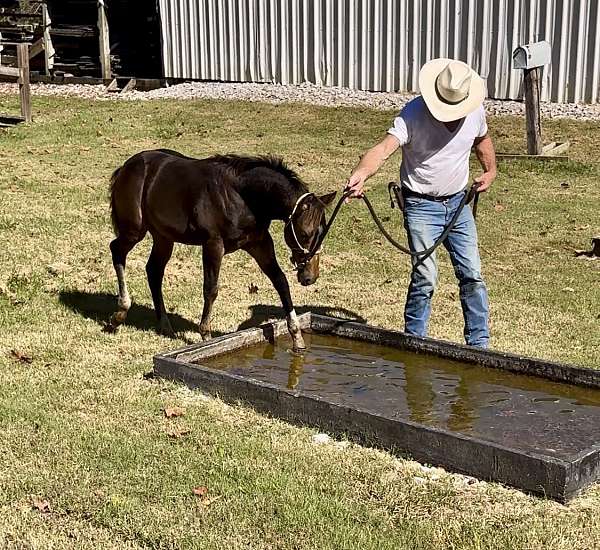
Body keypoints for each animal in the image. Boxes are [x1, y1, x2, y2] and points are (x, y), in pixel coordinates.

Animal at [105, 149, 336, 352]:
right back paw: (119, 314)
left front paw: (297, 337)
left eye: (323, 231)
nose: (310, 277)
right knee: (116, 250)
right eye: (305, 234)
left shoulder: (260, 244)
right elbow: (211, 289)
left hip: (164, 238)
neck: (242, 196)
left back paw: (164, 325)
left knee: (154, 270)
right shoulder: (213, 245)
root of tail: (126, 167)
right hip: (134, 231)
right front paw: (206, 336)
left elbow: (281, 282)